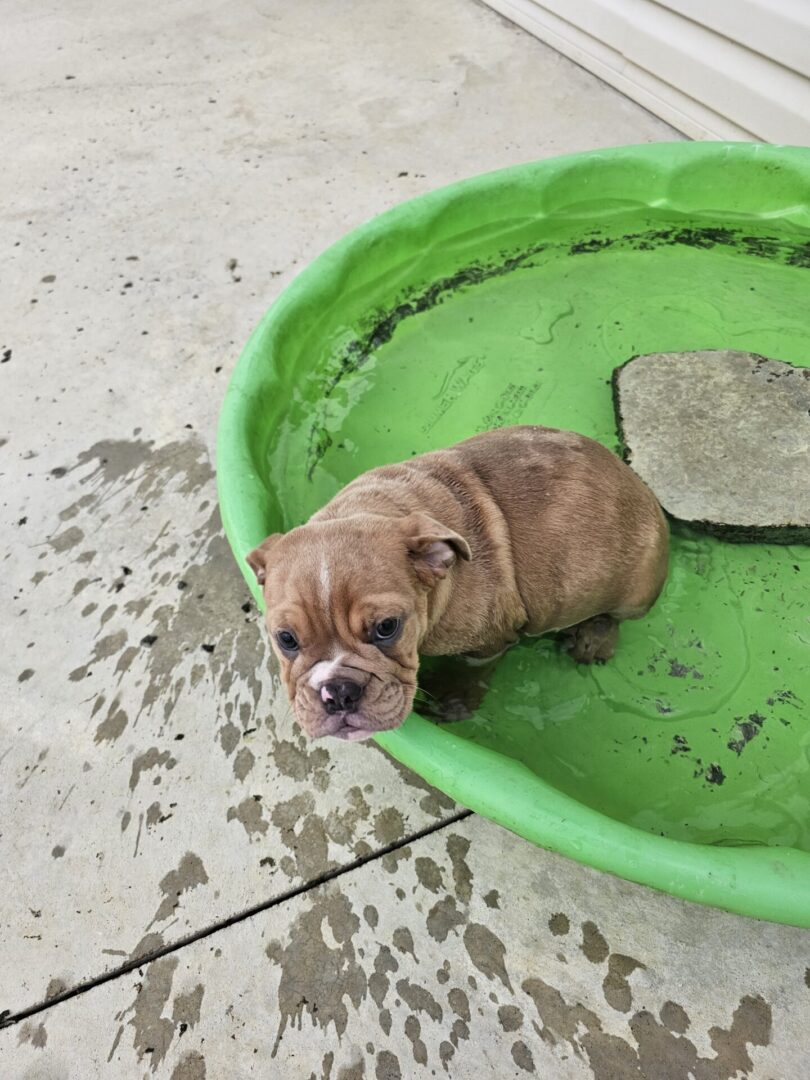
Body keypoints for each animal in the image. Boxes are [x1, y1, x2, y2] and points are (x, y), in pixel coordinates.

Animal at [249, 425, 673, 738]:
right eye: (286, 639)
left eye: (387, 627)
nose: (338, 692)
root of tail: (640, 486)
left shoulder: (488, 641)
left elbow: (471, 670)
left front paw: (451, 699)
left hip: (632, 588)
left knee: (611, 617)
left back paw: (591, 639)